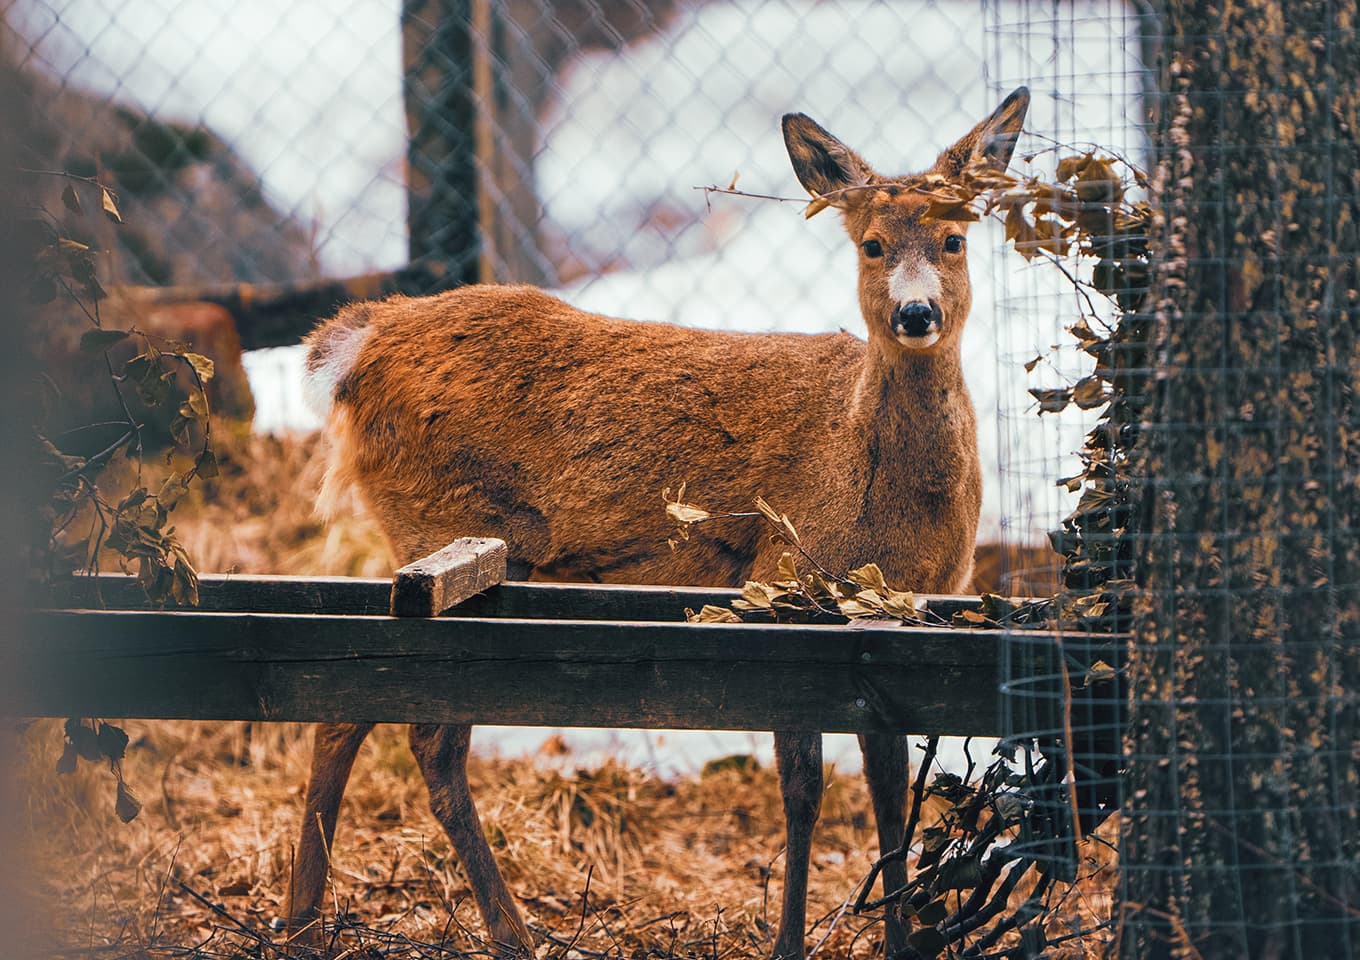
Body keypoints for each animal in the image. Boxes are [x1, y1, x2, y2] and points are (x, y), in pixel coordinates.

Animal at [289, 87, 1029, 959]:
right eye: (872, 244)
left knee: (348, 702)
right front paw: (788, 941)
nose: (916, 312)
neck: (874, 491)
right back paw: (505, 931)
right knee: (425, 737)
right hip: (447, 525)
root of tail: (357, 341)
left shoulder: (887, 616)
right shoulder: (782, 578)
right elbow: (804, 790)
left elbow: (886, 789)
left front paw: (902, 938)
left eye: (954, 238)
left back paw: (304, 922)